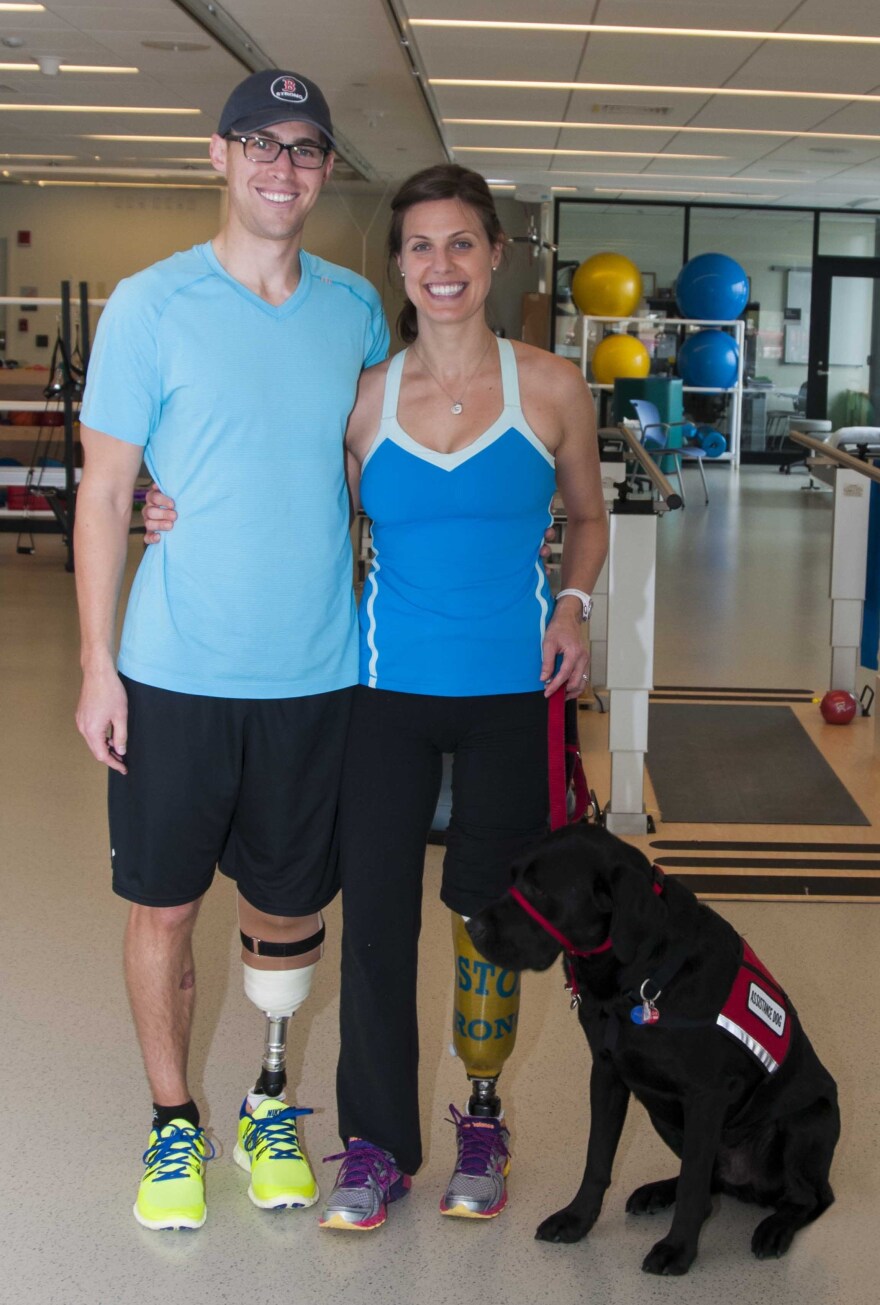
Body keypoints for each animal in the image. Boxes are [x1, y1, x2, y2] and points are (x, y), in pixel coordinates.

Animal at [464, 824, 835, 1273]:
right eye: (513, 877)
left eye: (537, 889)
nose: (472, 928)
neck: (632, 981)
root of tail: (749, 1186)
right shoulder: (607, 1073)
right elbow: (598, 1160)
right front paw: (577, 1219)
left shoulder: (706, 1096)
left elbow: (693, 1186)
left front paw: (678, 1249)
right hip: (664, 1115)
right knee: (711, 1183)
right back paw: (659, 1191)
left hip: (807, 1123)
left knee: (809, 1198)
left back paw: (775, 1228)